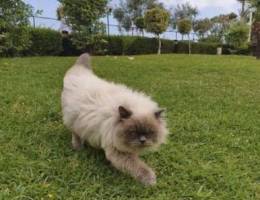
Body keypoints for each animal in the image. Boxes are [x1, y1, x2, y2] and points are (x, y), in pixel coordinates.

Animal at [62, 53, 169, 186]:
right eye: (133, 132)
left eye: (150, 132)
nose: (142, 140)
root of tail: (79, 70)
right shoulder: (117, 150)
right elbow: (138, 166)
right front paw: (151, 180)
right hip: (74, 120)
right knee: (76, 133)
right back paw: (78, 147)